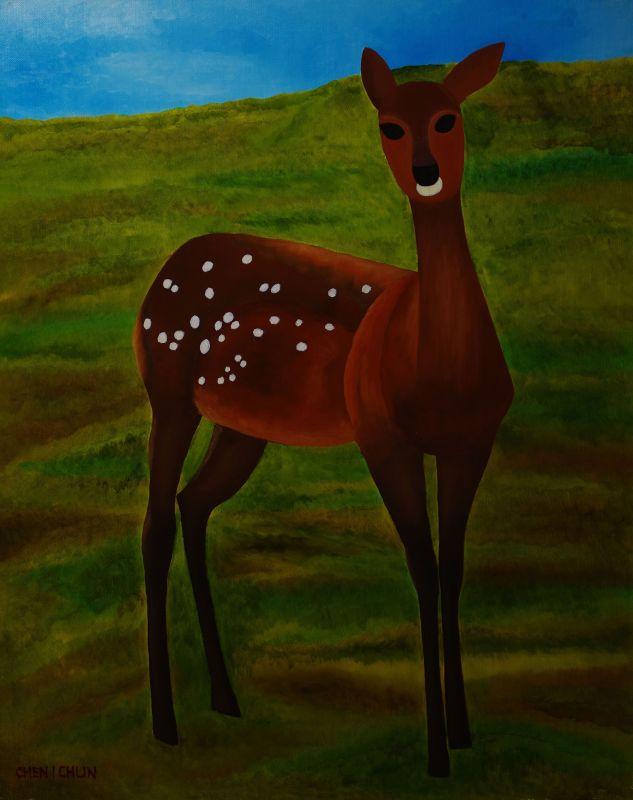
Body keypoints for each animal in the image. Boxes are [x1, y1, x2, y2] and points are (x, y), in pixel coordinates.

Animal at [133, 42, 514, 778]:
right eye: (389, 126)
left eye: (449, 118)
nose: (425, 174)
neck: (434, 362)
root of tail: (168, 261)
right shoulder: (380, 434)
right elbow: (422, 568)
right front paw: (435, 753)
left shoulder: (471, 442)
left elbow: (454, 569)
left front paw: (462, 732)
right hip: (166, 388)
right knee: (155, 521)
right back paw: (164, 724)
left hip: (241, 424)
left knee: (194, 504)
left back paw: (225, 698)